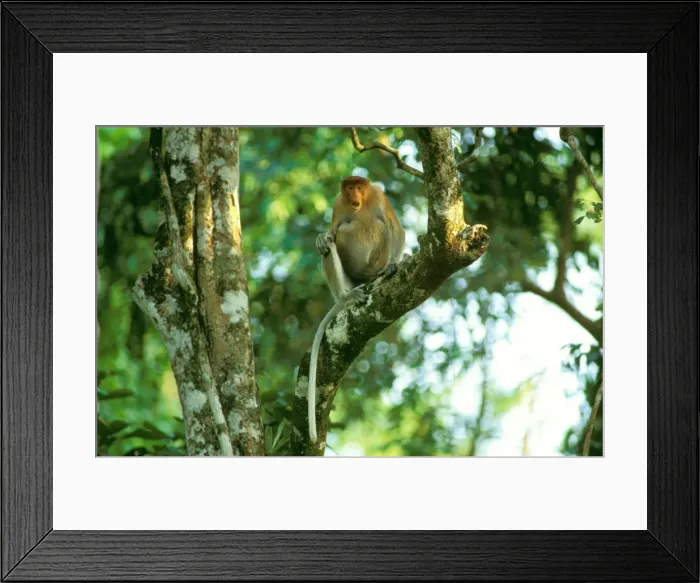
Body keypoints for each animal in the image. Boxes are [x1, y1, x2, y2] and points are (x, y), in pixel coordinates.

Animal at [308, 176, 406, 444]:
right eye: (349, 187)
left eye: (359, 186)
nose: (353, 194)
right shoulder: (338, 203)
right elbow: (332, 231)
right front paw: (321, 237)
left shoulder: (379, 195)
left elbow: (396, 229)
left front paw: (394, 264)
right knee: (331, 244)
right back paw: (346, 296)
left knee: (382, 226)